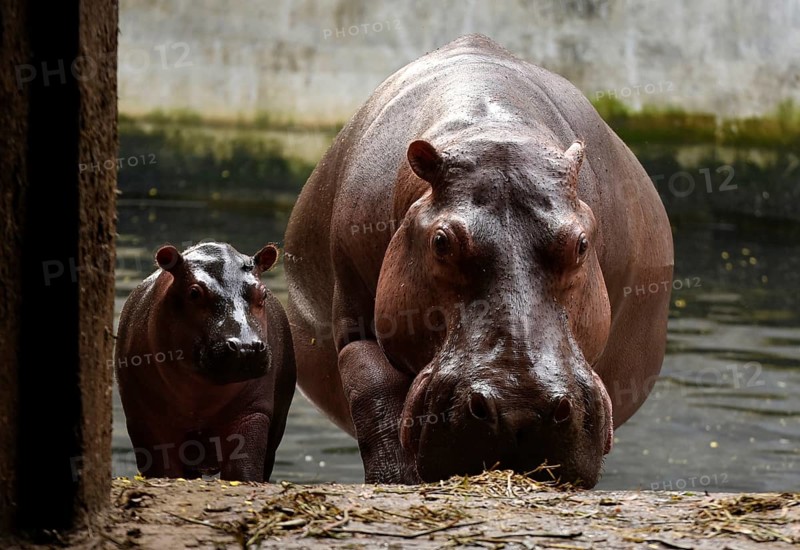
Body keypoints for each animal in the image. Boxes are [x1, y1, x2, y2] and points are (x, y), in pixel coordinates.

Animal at [115, 242, 296, 481]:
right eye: (194, 292)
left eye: (263, 293)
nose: (245, 347)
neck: (201, 395)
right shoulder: (147, 419)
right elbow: (163, 468)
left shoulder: (253, 412)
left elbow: (243, 468)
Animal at [284, 34, 673, 486]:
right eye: (440, 242)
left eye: (580, 244)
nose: (519, 409)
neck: (491, 129)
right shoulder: (353, 320)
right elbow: (373, 394)